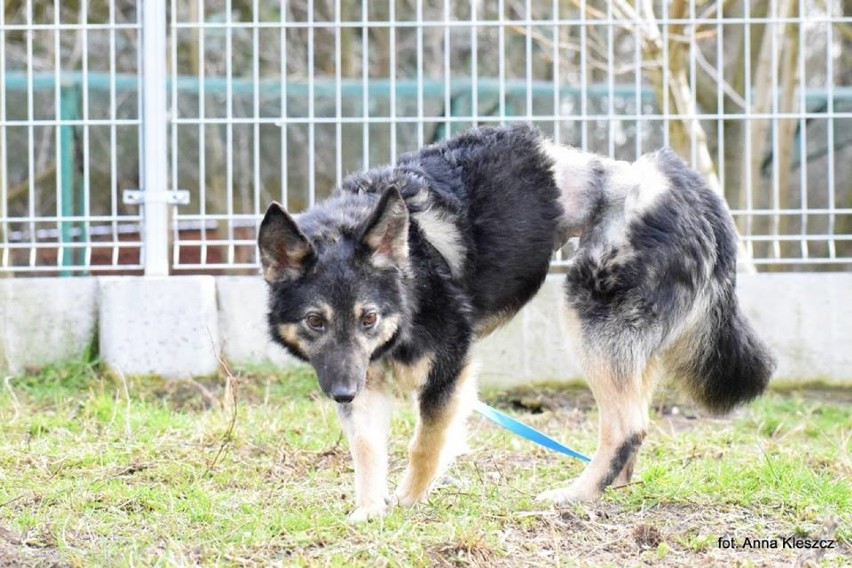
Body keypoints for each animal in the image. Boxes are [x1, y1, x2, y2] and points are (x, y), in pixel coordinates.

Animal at [256, 123, 776, 520]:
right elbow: (367, 451)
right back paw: (612, 487)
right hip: (629, 343)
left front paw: (407, 501)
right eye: (315, 321)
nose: (341, 392)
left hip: (588, 317)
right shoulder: (367, 379)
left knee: (626, 427)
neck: (409, 273)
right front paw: (368, 511)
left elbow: (425, 444)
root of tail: (674, 179)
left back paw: (576, 495)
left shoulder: (450, 369)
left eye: (368, 317)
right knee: (632, 424)